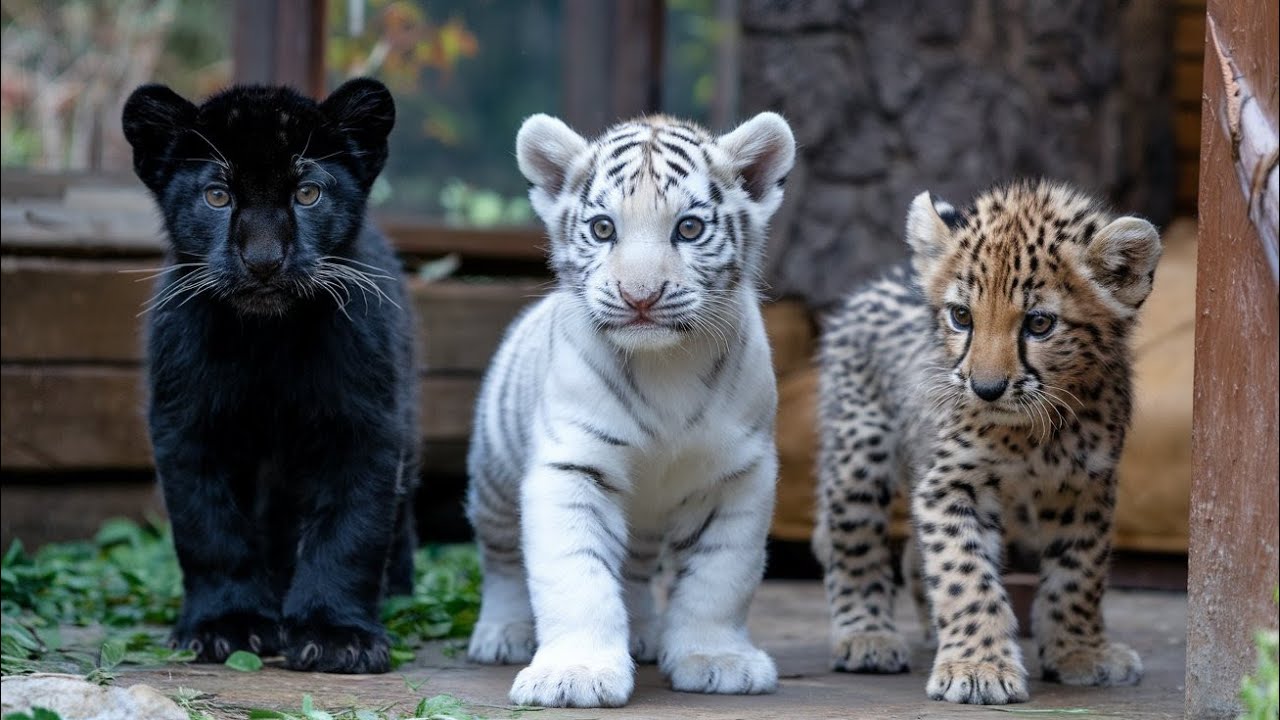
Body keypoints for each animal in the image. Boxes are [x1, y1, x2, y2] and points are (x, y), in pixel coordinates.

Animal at [464, 111, 796, 708]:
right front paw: (573, 675)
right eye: (602, 229)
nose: (640, 296)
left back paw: (642, 634)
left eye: (688, 229)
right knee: (500, 559)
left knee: (637, 569)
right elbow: (576, 576)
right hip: (496, 481)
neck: (666, 365)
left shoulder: (735, 476)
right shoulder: (572, 465)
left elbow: (721, 577)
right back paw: (502, 634)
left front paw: (717, 660)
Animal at [812, 179, 1162, 704]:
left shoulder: (1084, 486)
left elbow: (1079, 571)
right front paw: (978, 665)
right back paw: (866, 636)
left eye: (1039, 323)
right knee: (853, 541)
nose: (987, 388)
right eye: (961, 316)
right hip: (859, 450)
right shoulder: (951, 484)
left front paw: (1079, 652)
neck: (1035, 432)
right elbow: (965, 574)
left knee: (912, 554)